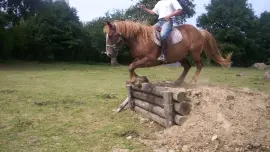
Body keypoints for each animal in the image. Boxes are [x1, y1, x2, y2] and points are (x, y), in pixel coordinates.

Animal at [103, 19, 232, 84]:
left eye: (111, 35)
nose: (109, 54)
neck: (140, 39)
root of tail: (199, 31)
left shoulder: (150, 60)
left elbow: (131, 66)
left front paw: (132, 80)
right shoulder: (139, 58)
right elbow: (131, 66)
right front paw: (141, 78)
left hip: (195, 52)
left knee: (199, 65)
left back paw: (193, 81)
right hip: (180, 55)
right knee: (187, 66)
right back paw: (178, 81)